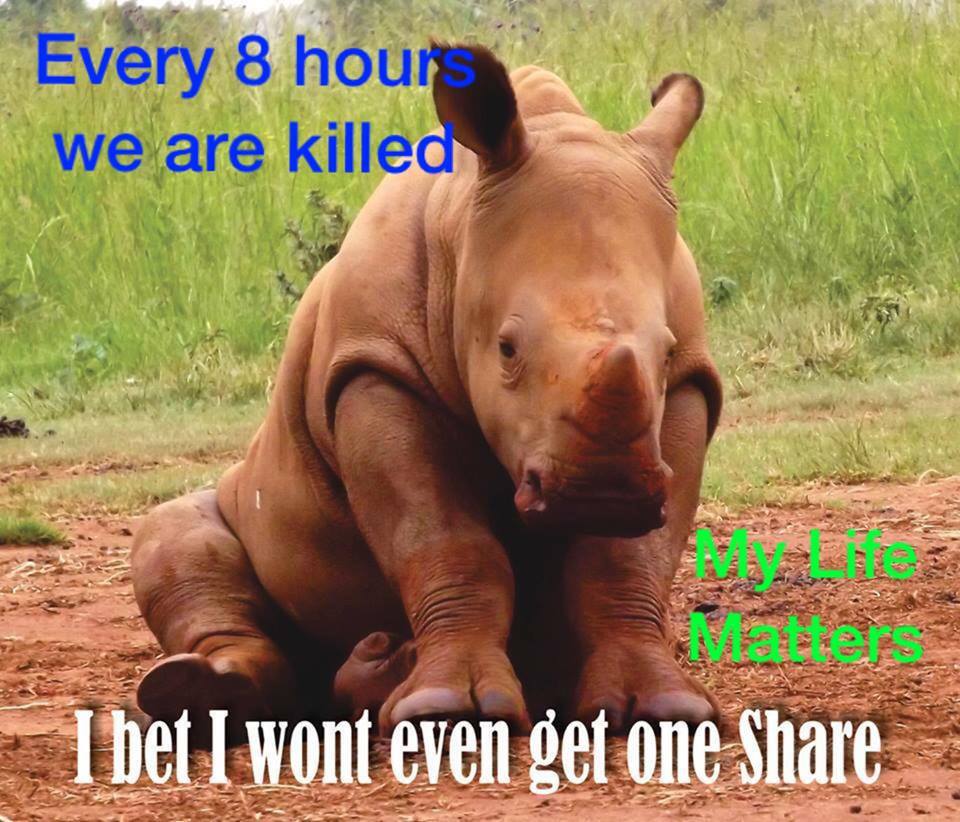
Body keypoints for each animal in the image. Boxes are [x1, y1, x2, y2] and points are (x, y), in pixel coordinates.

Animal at [132, 43, 722, 737]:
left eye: (665, 353)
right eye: (507, 349)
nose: (601, 494)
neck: (462, 224)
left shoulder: (688, 388)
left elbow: (625, 563)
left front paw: (663, 711)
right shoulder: (375, 368)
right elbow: (444, 541)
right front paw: (448, 709)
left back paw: (376, 669)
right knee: (172, 535)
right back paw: (215, 690)